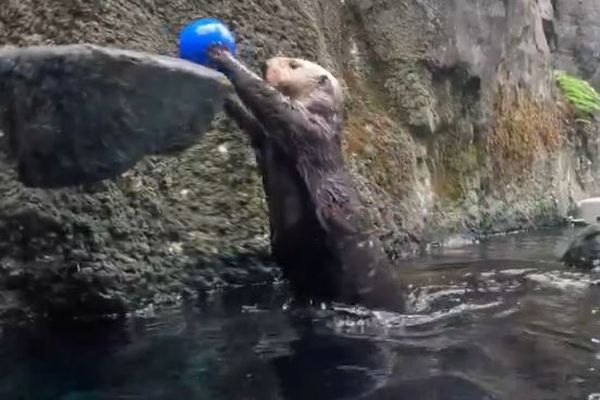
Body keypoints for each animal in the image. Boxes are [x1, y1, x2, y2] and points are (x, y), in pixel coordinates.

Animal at [207, 47, 404, 312]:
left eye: (293, 65)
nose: (265, 63)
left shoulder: (307, 127)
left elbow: (271, 101)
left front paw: (223, 56)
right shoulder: (267, 139)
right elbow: (255, 126)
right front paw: (226, 95)